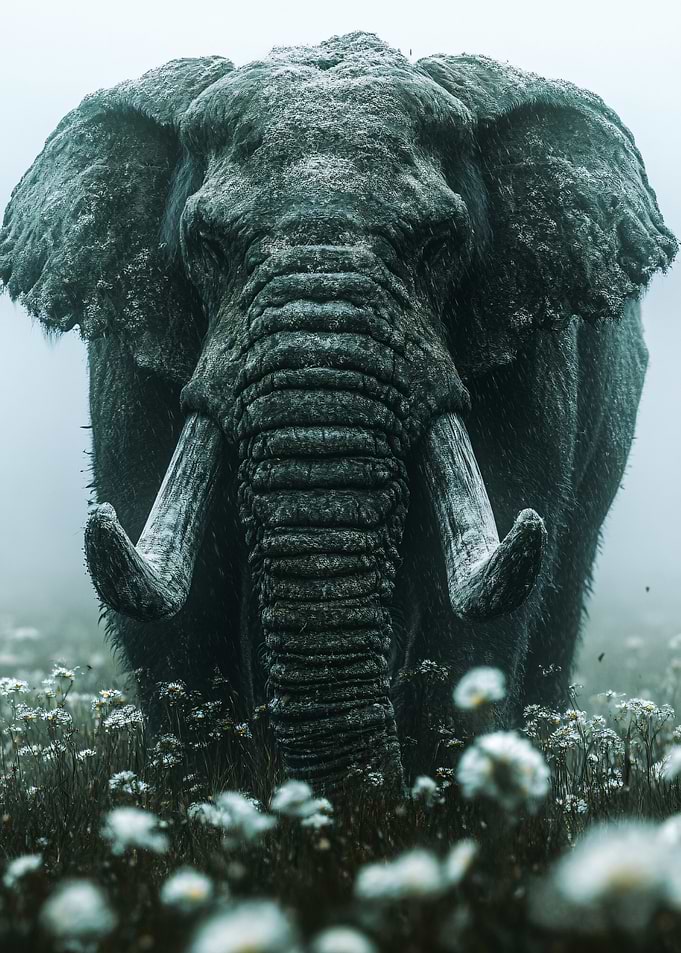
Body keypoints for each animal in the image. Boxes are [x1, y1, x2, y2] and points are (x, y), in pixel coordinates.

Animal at [1, 32, 676, 794]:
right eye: (206, 244)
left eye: (439, 243)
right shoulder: (131, 352)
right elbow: (170, 579)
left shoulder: (526, 348)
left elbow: (489, 560)